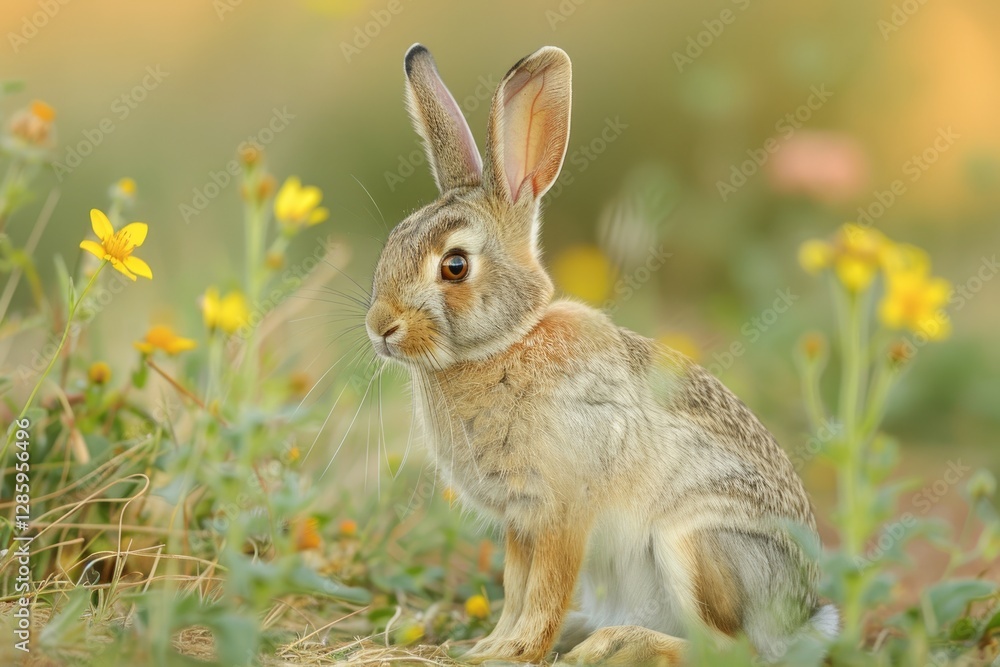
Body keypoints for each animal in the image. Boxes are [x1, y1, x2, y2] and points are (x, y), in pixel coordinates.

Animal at [363, 43, 839, 665]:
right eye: (393, 242)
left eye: (455, 266)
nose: (380, 327)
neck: (506, 342)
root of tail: (801, 619)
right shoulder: (520, 522)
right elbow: (516, 587)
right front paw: (485, 646)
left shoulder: (562, 510)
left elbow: (544, 590)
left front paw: (515, 652)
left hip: (697, 544)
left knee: (727, 649)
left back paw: (612, 644)